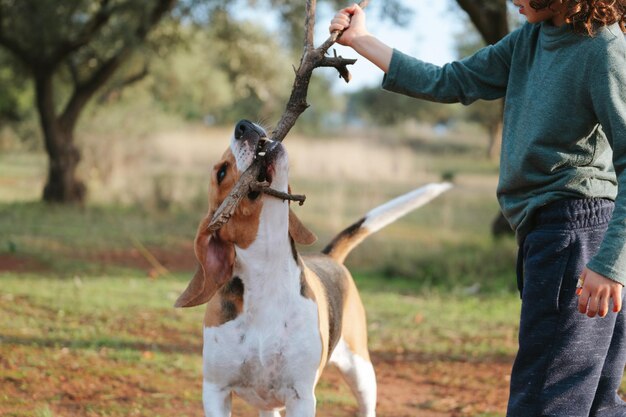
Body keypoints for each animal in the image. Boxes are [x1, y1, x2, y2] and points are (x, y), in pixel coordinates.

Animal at [174, 118, 448, 414]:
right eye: (222, 173)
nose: (243, 125)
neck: (268, 271)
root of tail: (329, 256)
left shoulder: (301, 396)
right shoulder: (215, 391)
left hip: (361, 371)